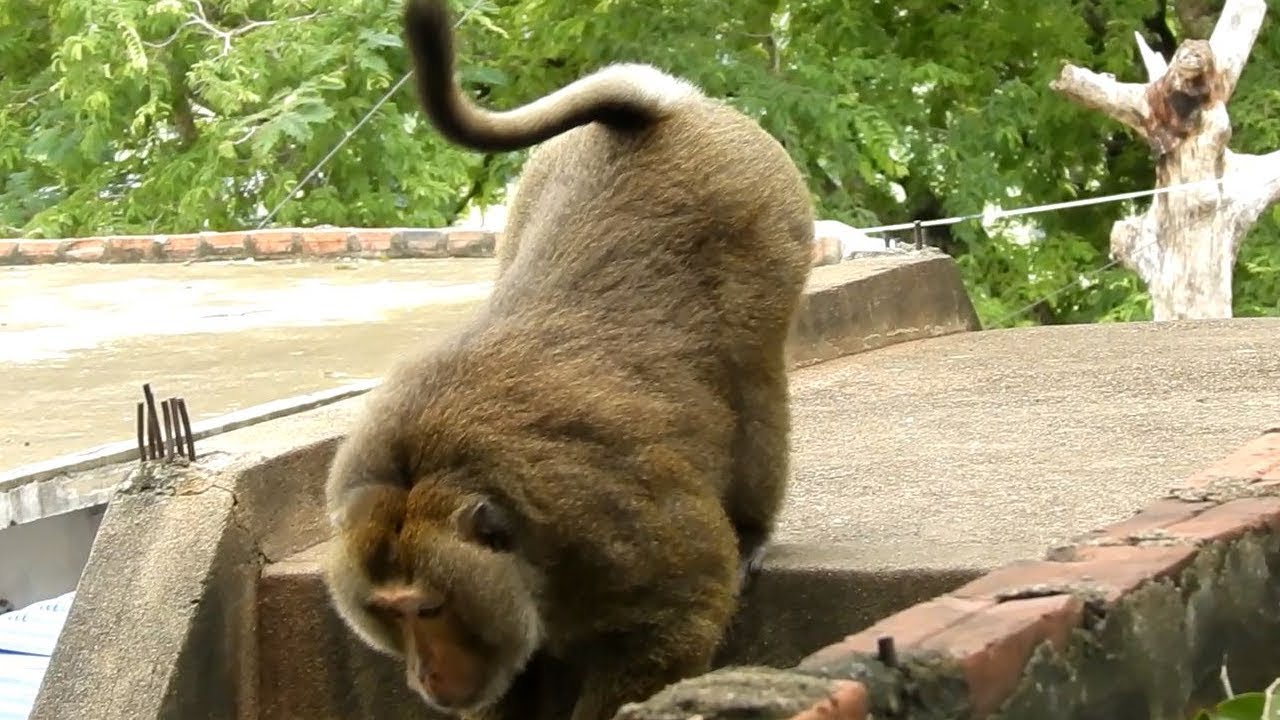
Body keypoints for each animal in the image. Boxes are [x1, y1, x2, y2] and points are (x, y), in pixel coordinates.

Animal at [320, 0, 815, 718]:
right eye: (390, 613)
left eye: (429, 609)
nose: (424, 674)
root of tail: (672, 111)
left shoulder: (609, 529)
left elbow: (683, 611)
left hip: (769, 216)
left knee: (754, 380)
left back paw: (752, 527)